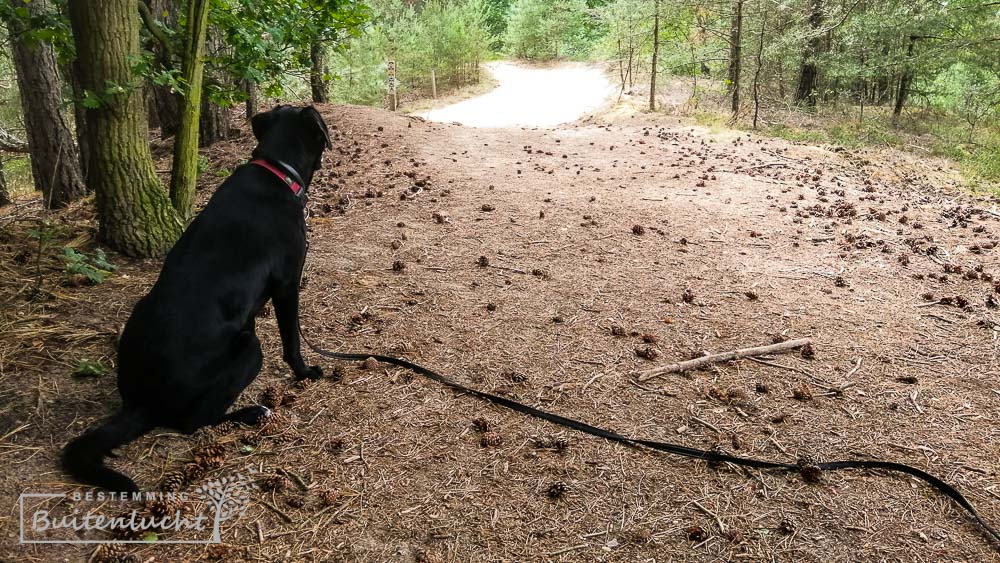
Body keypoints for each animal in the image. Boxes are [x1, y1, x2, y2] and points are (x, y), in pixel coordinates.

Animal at [63, 106, 332, 494]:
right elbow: (292, 341)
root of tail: (139, 402)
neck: (276, 171)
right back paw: (251, 413)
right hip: (250, 349)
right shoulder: (287, 285)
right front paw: (305, 372)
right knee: (193, 422)